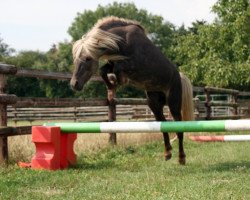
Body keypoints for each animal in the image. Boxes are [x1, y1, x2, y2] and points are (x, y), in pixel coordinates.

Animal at [69, 16, 194, 165]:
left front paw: (118, 81)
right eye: (75, 60)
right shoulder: (112, 62)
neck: (122, 40)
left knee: (179, 128)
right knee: (164, 124)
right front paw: (111, 85)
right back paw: (167, 153)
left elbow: (117, 69)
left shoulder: (132, 64)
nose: (74, 84)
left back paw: (181, 158)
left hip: (173, 103)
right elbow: (103, 70)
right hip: (154, 104)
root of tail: (179, 75)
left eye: (87, 58)